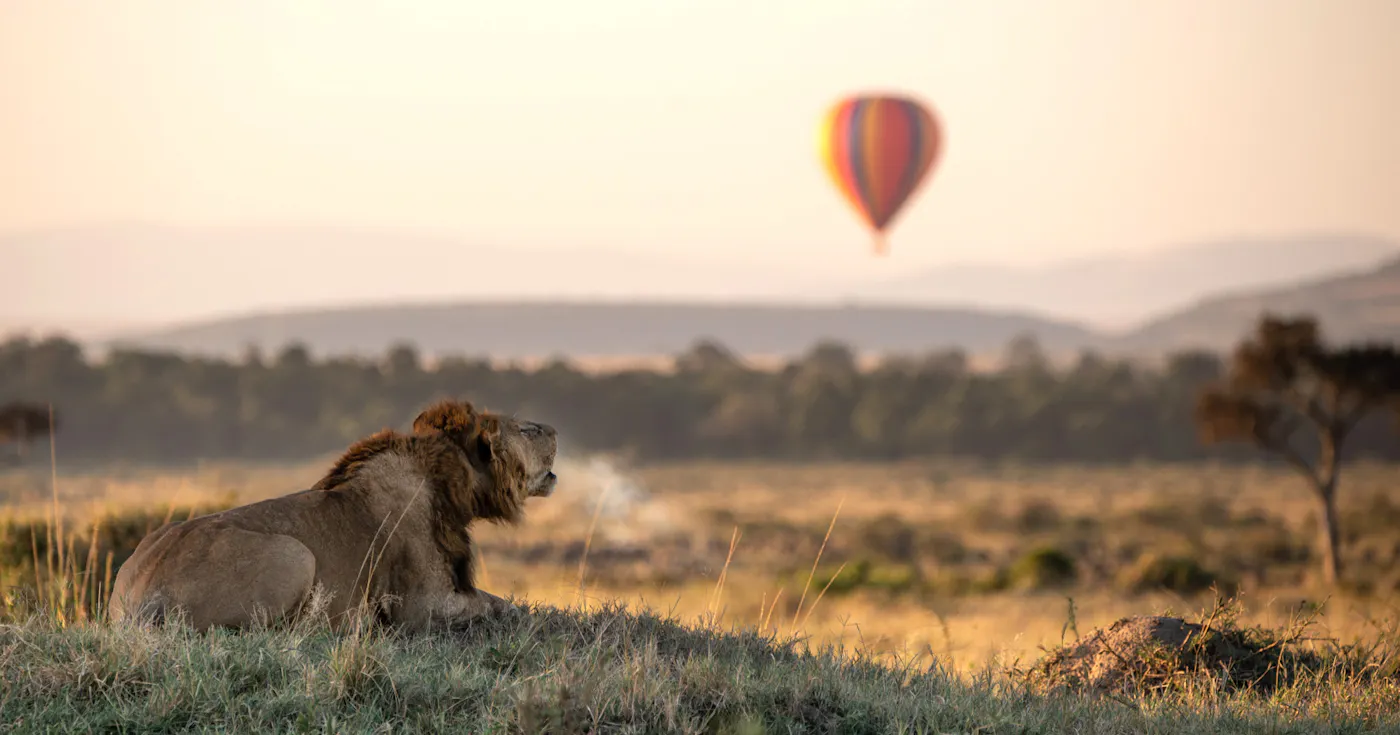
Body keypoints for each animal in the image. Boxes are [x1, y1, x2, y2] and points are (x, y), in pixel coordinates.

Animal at [108, 399, 558, 633]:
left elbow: (500, 601)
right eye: (526, 430)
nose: (554, 429)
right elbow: (500, 606)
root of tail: (140, 594)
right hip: (296, 555)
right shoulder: (422, 606)